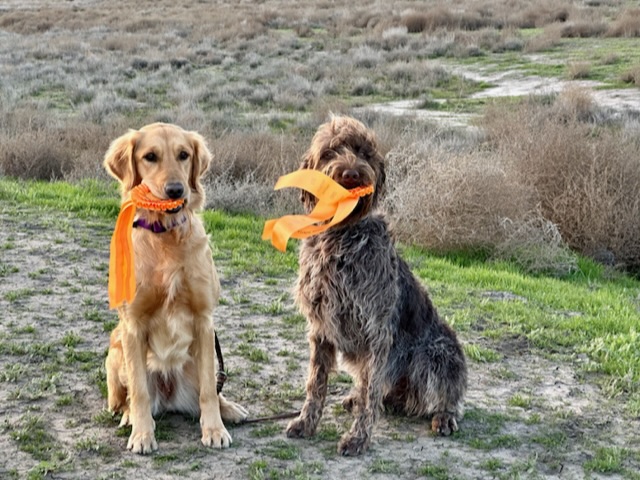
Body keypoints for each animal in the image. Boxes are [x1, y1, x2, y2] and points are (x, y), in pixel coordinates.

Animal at [103, 123, 247, 454]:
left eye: (184, 155)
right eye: (150, 156)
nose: (175, 190)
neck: (164, 236)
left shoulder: (204, 320)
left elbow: (208, 390)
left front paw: (214, 429)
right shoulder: (132, 324)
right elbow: (139, 392)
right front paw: (143, 434)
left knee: (212, 390)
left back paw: (229, 409)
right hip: (116, 350)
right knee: (127, 396)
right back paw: (129, 416)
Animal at [285, 116, 467, 456]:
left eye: (363, 152)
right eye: (329, 153)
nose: (351, 174)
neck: (341, 238)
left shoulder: (376, 331)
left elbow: (369, 393)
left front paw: (358, 437)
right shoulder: (321, 328)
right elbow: (316, 383)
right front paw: (306, 422)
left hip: (437, 352)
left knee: (443, 394)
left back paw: (443, 415)